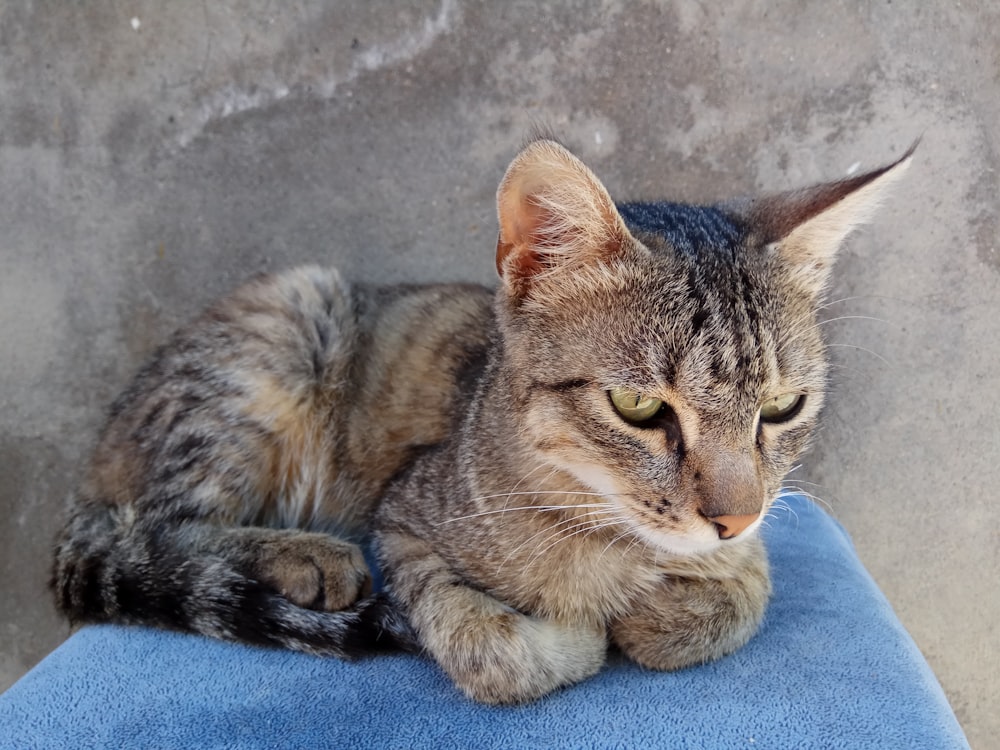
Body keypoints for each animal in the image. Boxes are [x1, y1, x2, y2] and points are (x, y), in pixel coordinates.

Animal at [54, 138, 916, 708]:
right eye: (639, 407)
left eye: (782, 408)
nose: (732, 517)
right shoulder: (402, 523)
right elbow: (492, 648)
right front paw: (580, 634)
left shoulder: (754, 547)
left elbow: (742, 598)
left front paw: (661, 610)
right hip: (281, 331)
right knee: (152, 524)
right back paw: (303, 554)